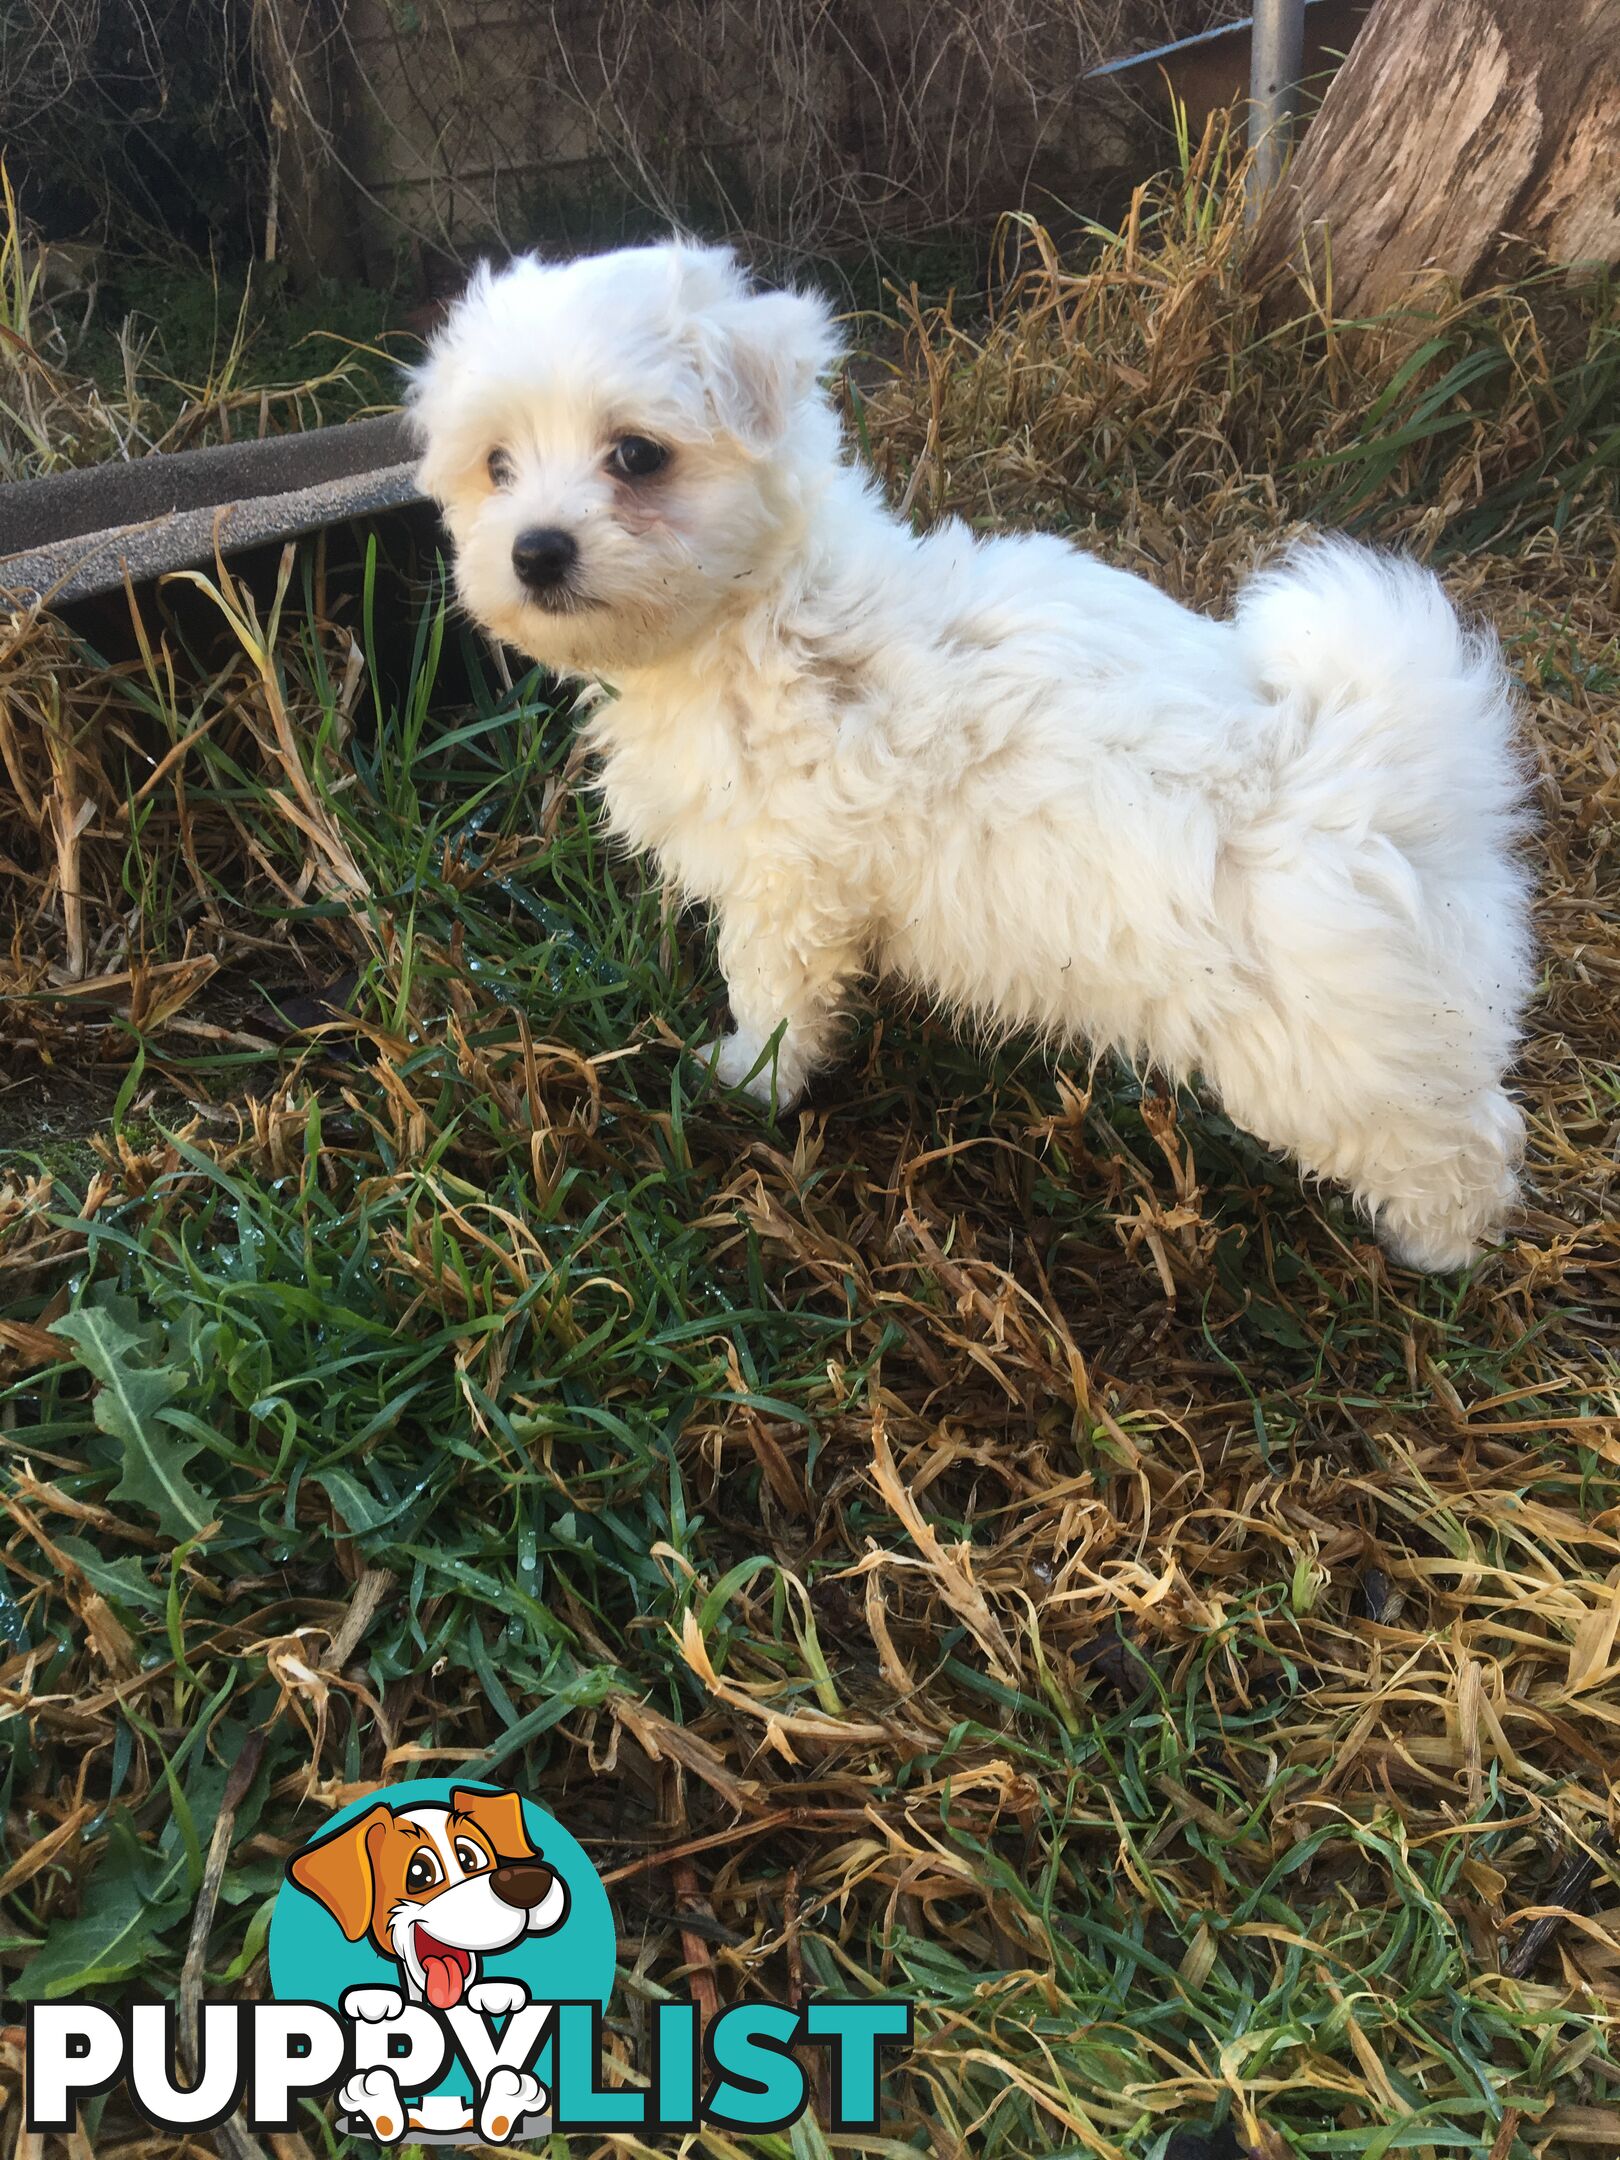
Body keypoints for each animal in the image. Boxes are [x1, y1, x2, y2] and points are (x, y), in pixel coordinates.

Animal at [408, 245, 1537, 1270]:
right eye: (495, 468)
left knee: (1459, 1142)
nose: (536, 551)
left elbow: (773, 992)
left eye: (637, 456)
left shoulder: (786, 886)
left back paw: (1437, 1253)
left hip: (1330, 1050)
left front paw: (749, 1078)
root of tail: (1385, 768)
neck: (765, 614)